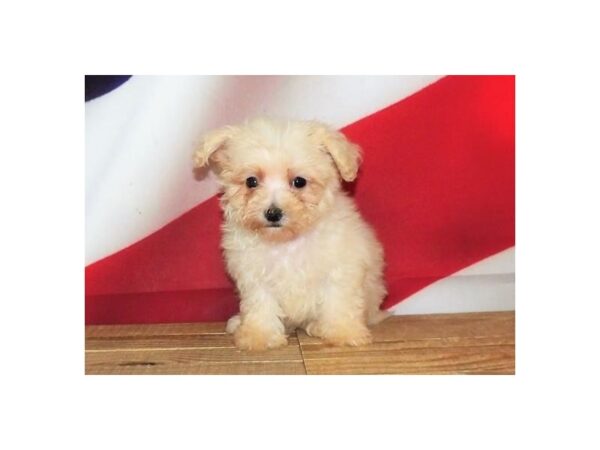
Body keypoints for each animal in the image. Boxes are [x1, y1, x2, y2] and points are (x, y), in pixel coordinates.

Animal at [195, 118, 386, 350]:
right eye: (251, 181)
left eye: (299, 182)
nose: (273, 213)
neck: (286, 241)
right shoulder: (255, 275)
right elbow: (260, 304)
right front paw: (259, 335)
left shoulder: (340, 269)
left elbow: (339, 301)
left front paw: (344, 333)